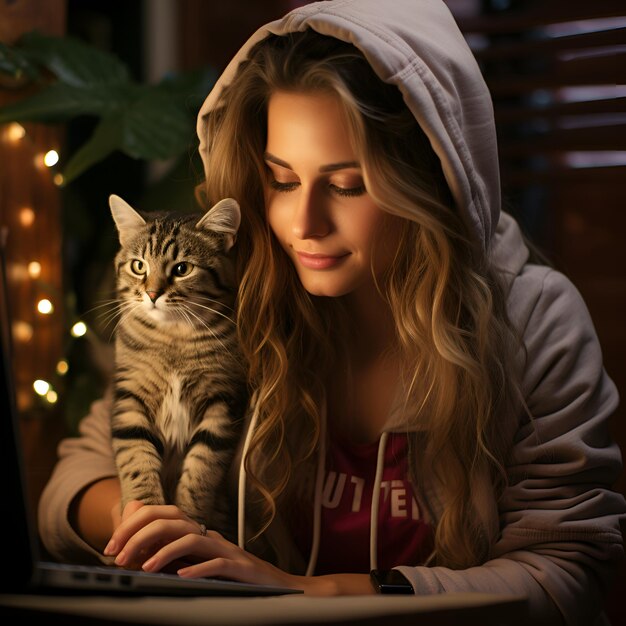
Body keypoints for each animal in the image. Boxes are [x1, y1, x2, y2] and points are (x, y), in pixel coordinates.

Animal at [107, 194, 246, 532]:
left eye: (182, 268)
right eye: (138, 266)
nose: (152, 293)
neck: (174, 338)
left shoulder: (222, 399)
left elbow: (202, 467)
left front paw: (190, 520)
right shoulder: (130, 396)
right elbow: (136, 456)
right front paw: (145, 512)